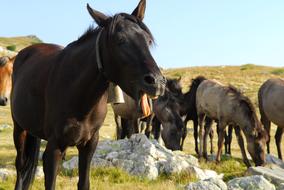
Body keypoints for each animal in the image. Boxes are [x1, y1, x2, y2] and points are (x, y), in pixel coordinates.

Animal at [11, 0, 166, 189]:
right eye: (120, 40)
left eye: (148, 40)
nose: (157, 82)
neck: (79, 97)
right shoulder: (54, 148)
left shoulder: (89, 145)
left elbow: (84, 182)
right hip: (19, 127)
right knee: (21, 165)